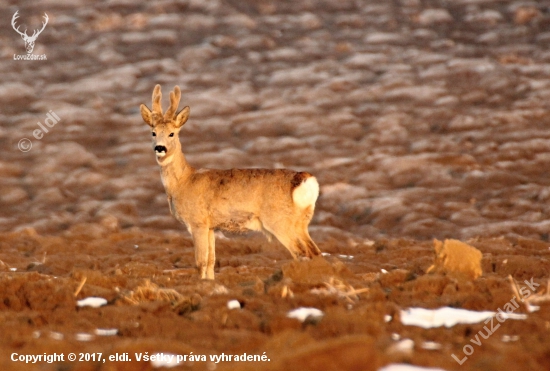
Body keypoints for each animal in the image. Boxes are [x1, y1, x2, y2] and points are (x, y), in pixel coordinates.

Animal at [141, 85, 324, 280]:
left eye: (172, 133)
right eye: (153, 133)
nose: (160, 148)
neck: (183, 182)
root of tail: (305, 180)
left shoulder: (198, 222)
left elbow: (200, 262)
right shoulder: (211, 227)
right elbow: (211, 261)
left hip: (280, 221)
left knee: (301, 253)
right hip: (301, 223)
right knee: (315, 252)